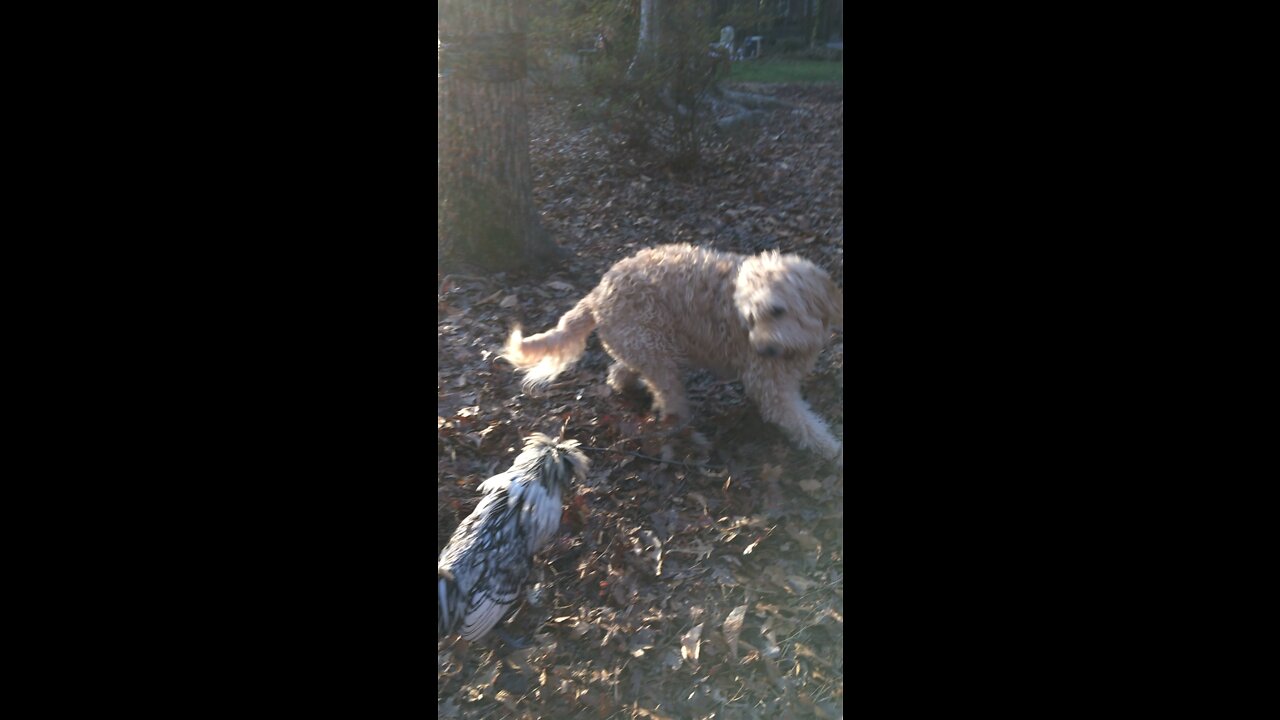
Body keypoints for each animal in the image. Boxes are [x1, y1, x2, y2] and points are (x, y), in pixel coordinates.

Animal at [504, 242, 844, 466]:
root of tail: (597, 292)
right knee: (670, 403)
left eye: (777, 310)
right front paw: (830, 448)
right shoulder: (770, 386)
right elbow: (800, 421)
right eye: (749, 319)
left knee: (621, 370)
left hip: (643, 346)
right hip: (658, 357)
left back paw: (625, 382)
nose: (763, 349)